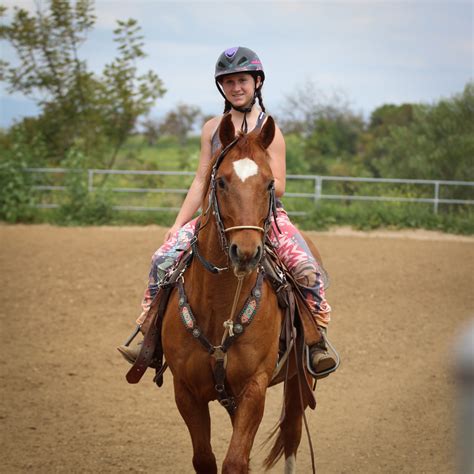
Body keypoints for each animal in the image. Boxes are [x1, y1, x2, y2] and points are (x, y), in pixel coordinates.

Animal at [161, 115, 312, 474]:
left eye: (270, 184)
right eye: (221, 182)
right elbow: (205, 459)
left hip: (301, 382)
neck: (219, 308)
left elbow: (235, 461)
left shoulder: (254, 388)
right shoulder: (185, 391)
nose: (245, 252)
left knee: (292, 435)